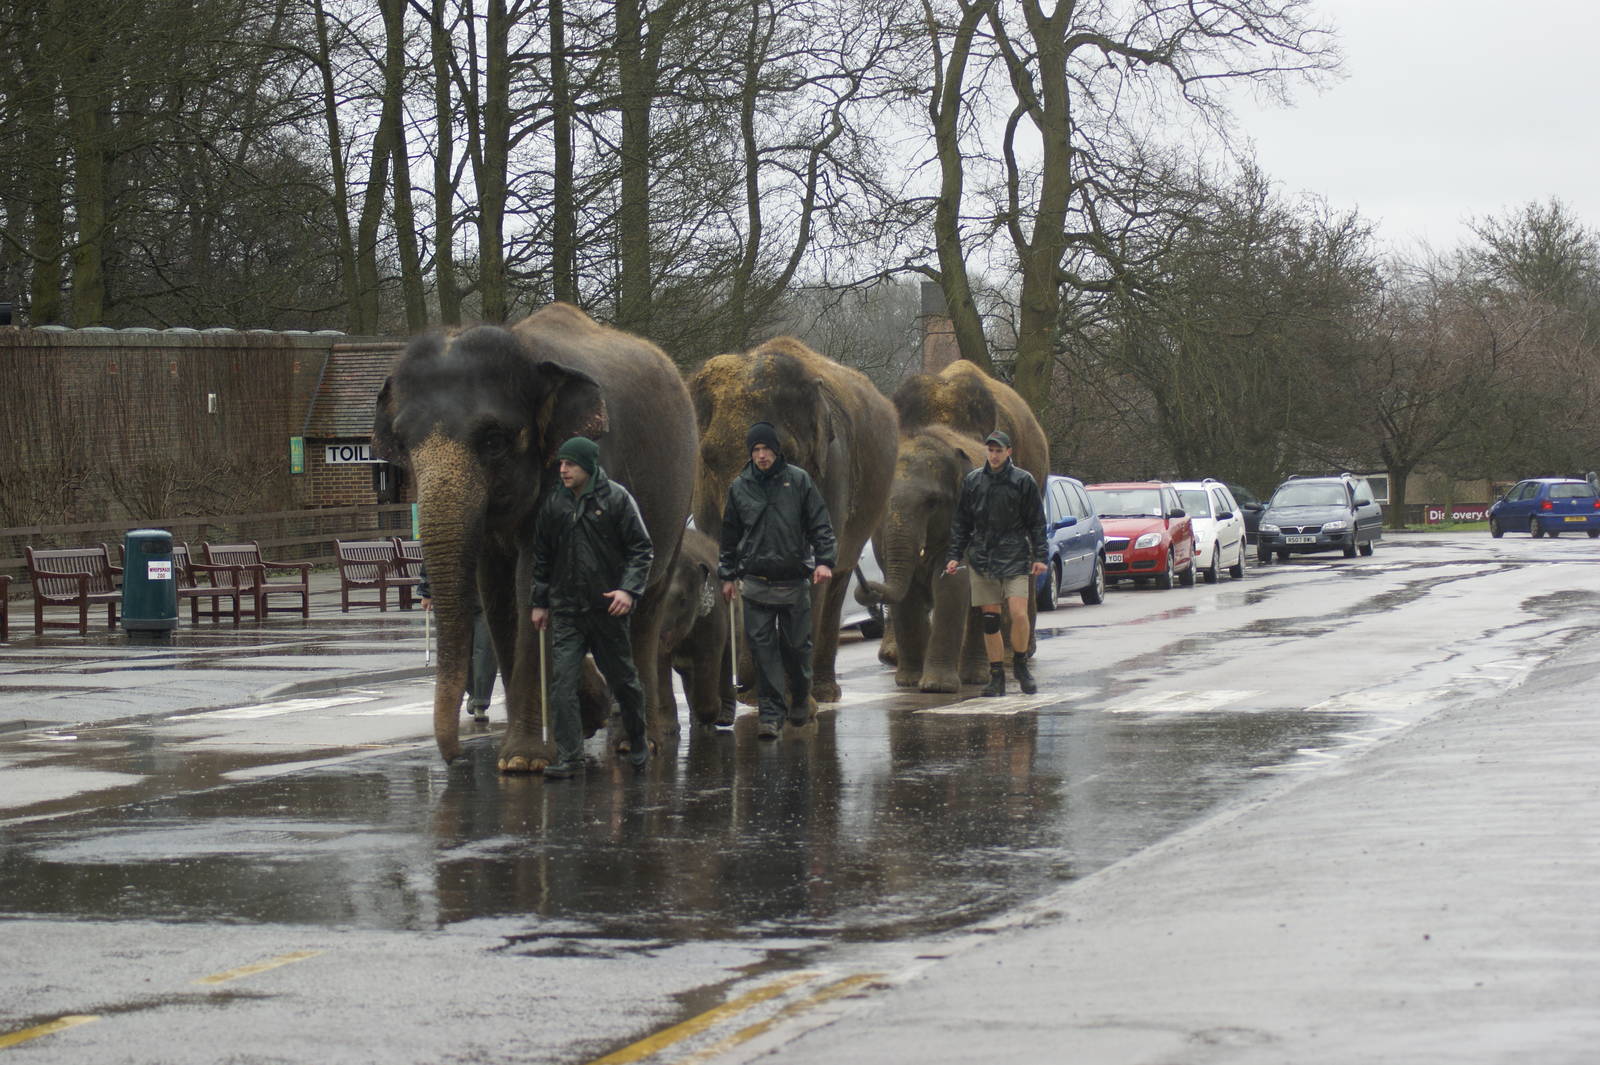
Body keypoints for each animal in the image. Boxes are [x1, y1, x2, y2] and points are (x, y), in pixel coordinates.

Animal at [373, 302, 697, 771]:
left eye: (494, 440)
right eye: (401, 443)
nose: (458, 761)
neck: (526, 351)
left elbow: (532, 584)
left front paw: (523, 761)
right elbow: (498, 595)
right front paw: (558, 732)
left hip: (678, 503)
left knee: (644, 616)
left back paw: (638, 744)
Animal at [656, 527, 736, 728]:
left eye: (683, 601)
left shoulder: (713, 615)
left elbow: (710, 655)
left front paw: (712, 712)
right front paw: (667, 728)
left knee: (727, 659)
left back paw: (723, 718)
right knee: (687, 672)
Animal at [689, 336, 898, 713]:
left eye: (782, 454)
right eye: (708, 458)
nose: (740, 687)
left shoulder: (832, 469)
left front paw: (795, 704)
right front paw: (761, 701)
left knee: (838, 577)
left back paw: (824, 694)